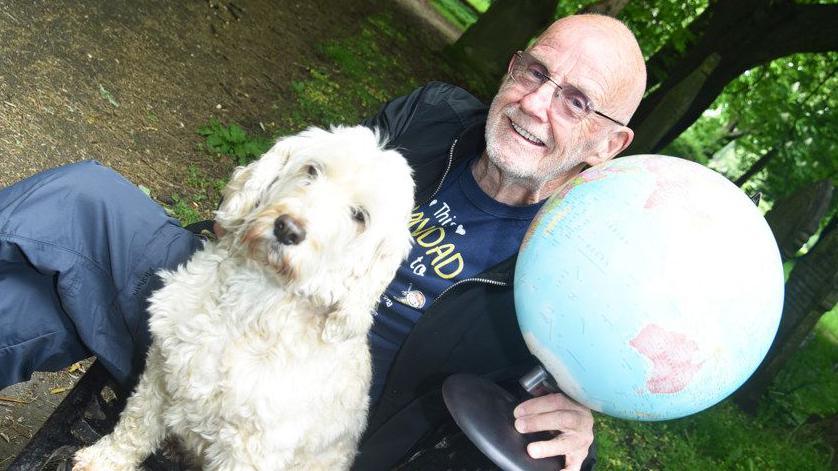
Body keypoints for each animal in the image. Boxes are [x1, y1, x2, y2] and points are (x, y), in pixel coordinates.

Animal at [74, 126, 416, 471]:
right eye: (312, 169)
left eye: (359, 216)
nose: (287, 229)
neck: (252, 300)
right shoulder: (162, 369)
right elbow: (137, 422)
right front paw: (105, 459)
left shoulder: (250, 449)